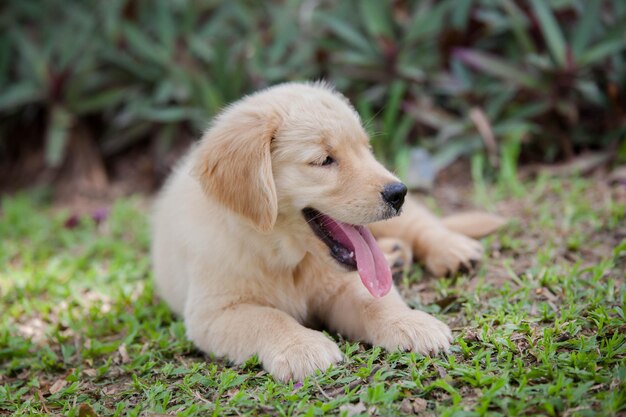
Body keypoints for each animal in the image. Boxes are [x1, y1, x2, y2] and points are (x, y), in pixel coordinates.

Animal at [151, 81, 502, 380]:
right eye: (324, 160)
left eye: (366, 150)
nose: (398, 192)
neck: (286, 256)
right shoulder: (214, 312)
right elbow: (267, 318)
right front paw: (302, 347)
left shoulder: (343, 284)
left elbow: (375, 302)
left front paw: (411, 323)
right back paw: (395, 254)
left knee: (421, 223)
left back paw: (452, 249)